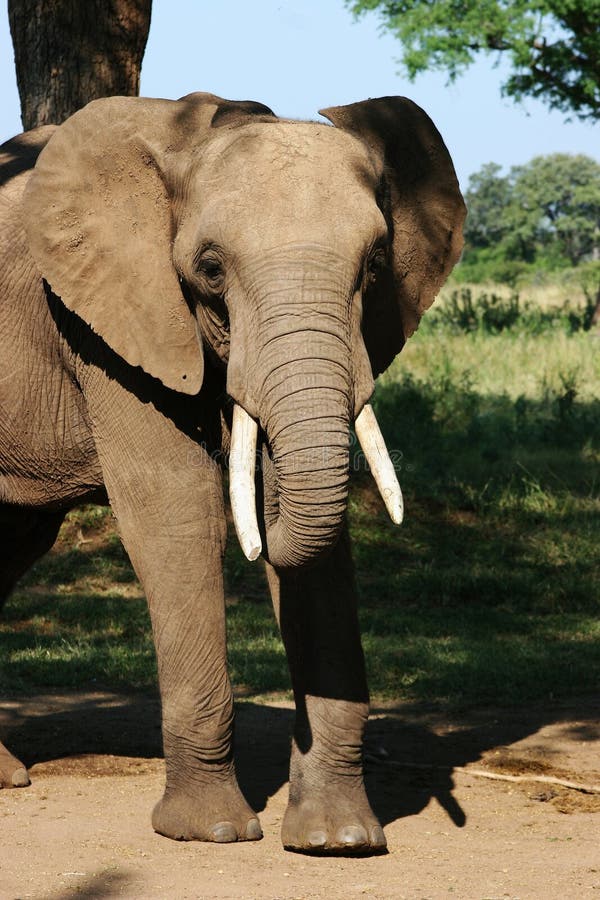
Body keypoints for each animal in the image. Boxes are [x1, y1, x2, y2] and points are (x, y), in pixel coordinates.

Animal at [0, 91, 465, 854]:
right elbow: (176, 511)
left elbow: (314, 540)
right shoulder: (108, 322)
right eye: (211, 269)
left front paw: (338, 840)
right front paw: (209, 830)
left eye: (376, 263)